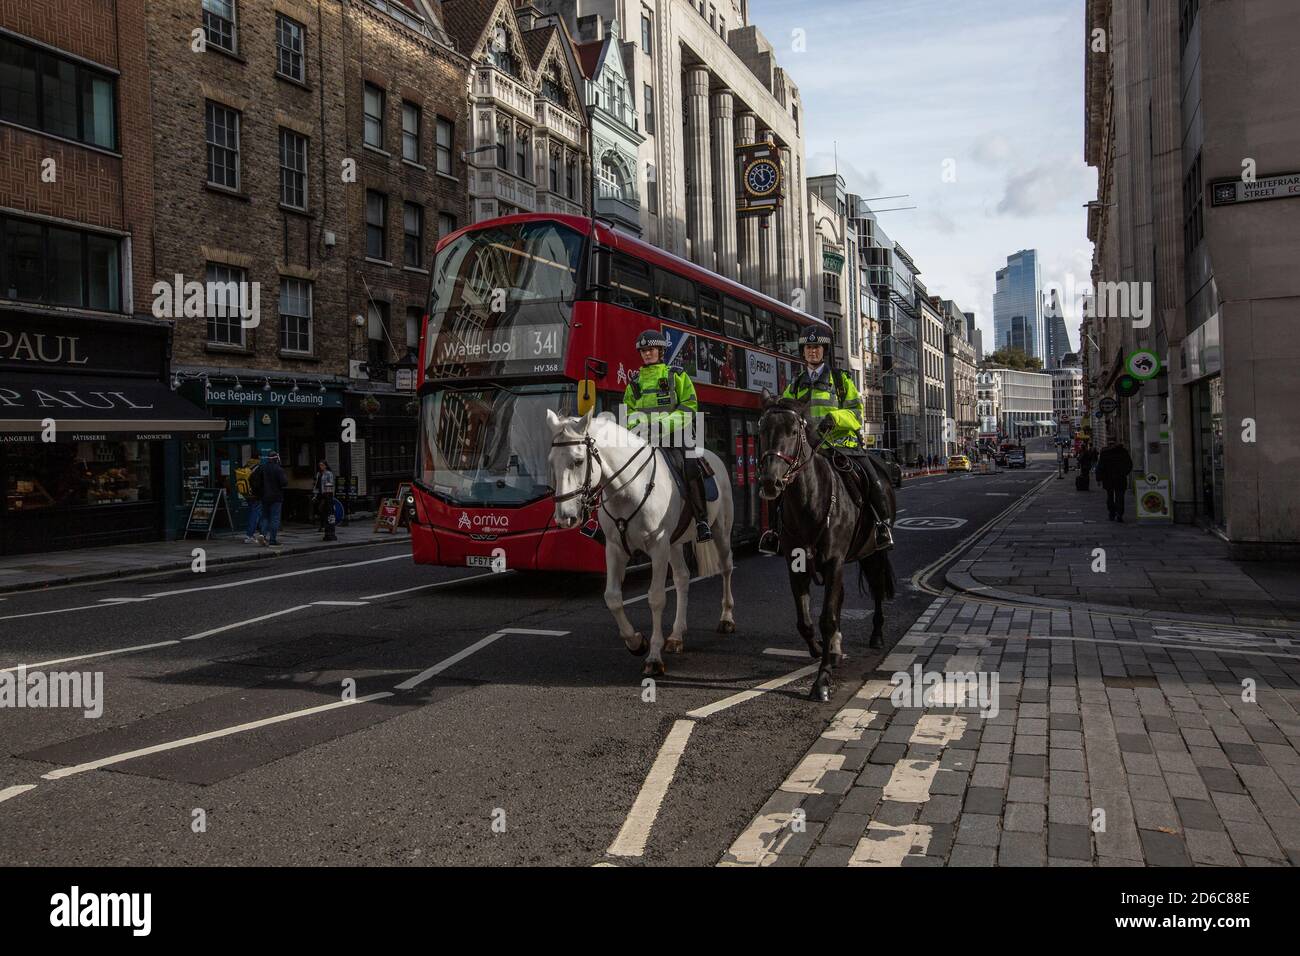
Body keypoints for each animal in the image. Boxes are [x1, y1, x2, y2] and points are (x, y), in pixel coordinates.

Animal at [546, 408, 738, 676]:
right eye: (551, 462)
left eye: (578, 461)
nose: (565, 517)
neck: (629, 489)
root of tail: (712, 457)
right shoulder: (615, 549)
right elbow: (612, 597)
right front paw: (636, 642)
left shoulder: (657, 546)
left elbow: (656, 598)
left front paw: (653, 657)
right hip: (674, 544)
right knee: (682, 578)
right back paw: (676, 636)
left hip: (720, 530)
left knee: (726, 567)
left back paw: (726, 618)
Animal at [759, 395, 894, 702]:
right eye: (761, 430)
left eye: (793, 432)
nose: (770, 483)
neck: (810, 501)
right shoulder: (796, 565)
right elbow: (806, 621)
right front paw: (822, 649)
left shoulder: (833, 562)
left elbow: (828, 618)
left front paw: (822, 680)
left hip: (874, 552)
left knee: (878, 588)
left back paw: (877, 635)